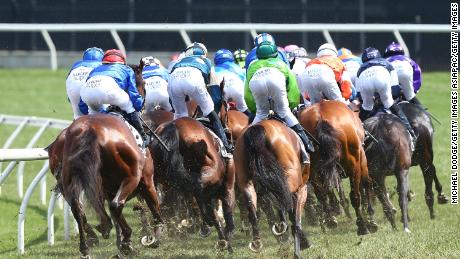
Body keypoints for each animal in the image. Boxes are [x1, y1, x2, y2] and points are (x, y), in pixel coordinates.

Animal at [152, 118, 235, 252]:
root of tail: (173, 126)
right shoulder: (227, 185)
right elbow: (226, 206)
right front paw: (227, 237)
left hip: (161, 177)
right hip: (209, 169)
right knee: (196, 187)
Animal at [235, 120, 310, 259]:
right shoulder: (302, 189)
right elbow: (295, 219)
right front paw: (300, 246)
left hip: (245, 180)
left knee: (253, 206)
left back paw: (257, 242)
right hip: (291, 178)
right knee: (281, 195)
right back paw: (281, 226)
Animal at [298, 100, 370, 237]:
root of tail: (321, 118)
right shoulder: (361, 159)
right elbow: (365, 185)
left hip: (313, 170)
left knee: (322, 195)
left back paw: (331, 220)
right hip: (354, 164)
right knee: (355, 195)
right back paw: (363, 226)